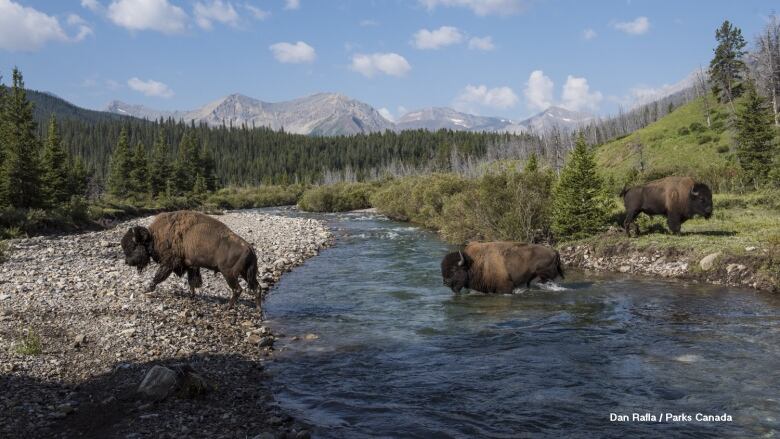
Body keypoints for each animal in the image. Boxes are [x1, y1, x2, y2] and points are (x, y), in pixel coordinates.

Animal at [120, 211, 262, 312]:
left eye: (133, 246)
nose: (127, 262)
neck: (153, 237)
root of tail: (249, 248)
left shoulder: (169, 263)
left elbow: (159, 276)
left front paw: (148, 289)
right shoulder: (191, 266)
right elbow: (192, 282)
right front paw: (192, 296)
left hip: (229, 273)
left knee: (237, 289)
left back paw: (228, 307)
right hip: (246, 273)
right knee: (257, 287)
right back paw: (258, 309)